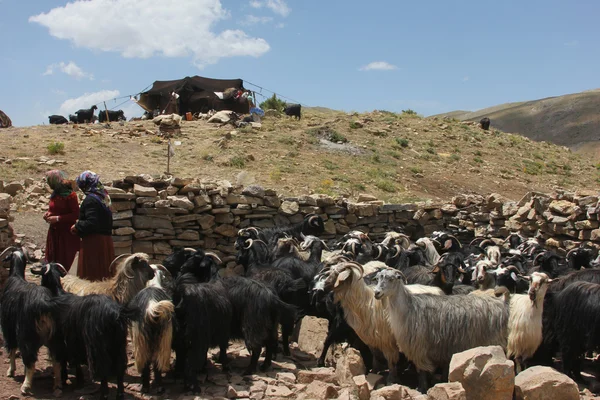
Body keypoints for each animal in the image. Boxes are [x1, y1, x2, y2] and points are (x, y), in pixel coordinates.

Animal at [0, 248, 64, 396]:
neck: (16, 277)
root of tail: (45, 305)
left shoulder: (8, 327)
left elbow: (11, 349)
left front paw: (11, 371)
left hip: (27, 335)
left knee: (30, 360)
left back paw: (26, 386)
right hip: (56, 337)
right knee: (57, 360)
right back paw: (57, 386)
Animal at [126, 264, 173, 392]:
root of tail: (151, 306)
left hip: (143, 339)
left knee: (148, 362)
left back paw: (148, 386)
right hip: (163, 336)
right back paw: (157, 386)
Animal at [372, 268, 508, 392]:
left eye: (391, 279)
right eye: (378, 278)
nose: (376, 293)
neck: (409, 308)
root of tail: (502, 303)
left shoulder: (419, 347)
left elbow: (422, 372)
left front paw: (422, 388)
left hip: (493, 340)